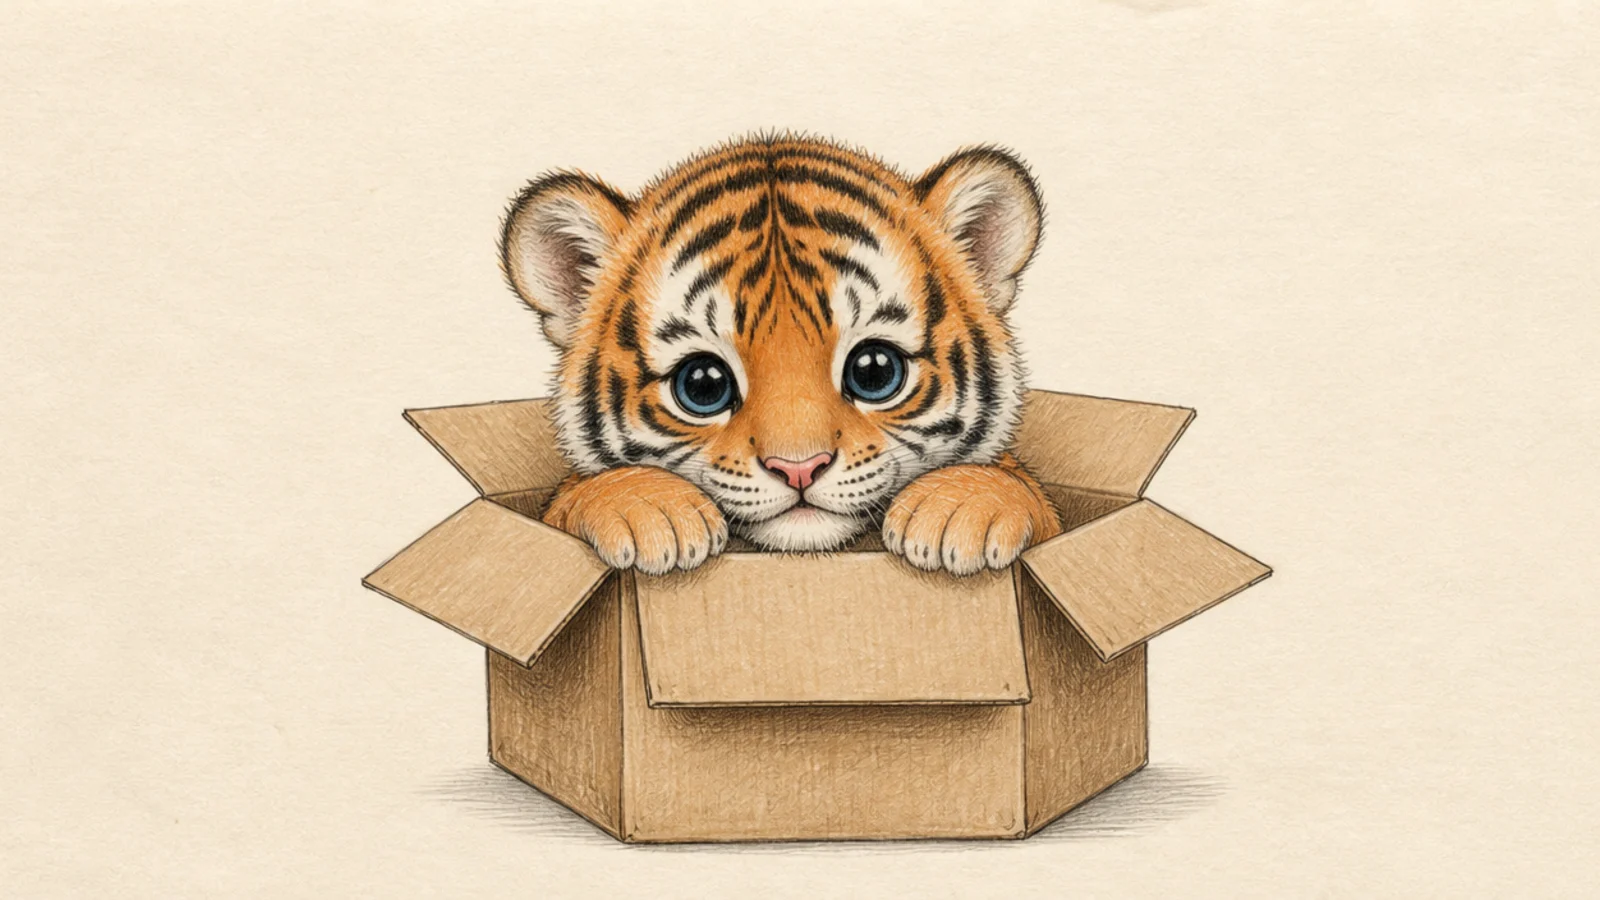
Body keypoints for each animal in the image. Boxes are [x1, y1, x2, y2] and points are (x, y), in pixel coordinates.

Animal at [498, 133, 1062, 576]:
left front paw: (962, 506)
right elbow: (574, 494)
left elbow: (1025, 490)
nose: (799, 469)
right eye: (702, 385)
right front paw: (647, 507)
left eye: (875, 373)